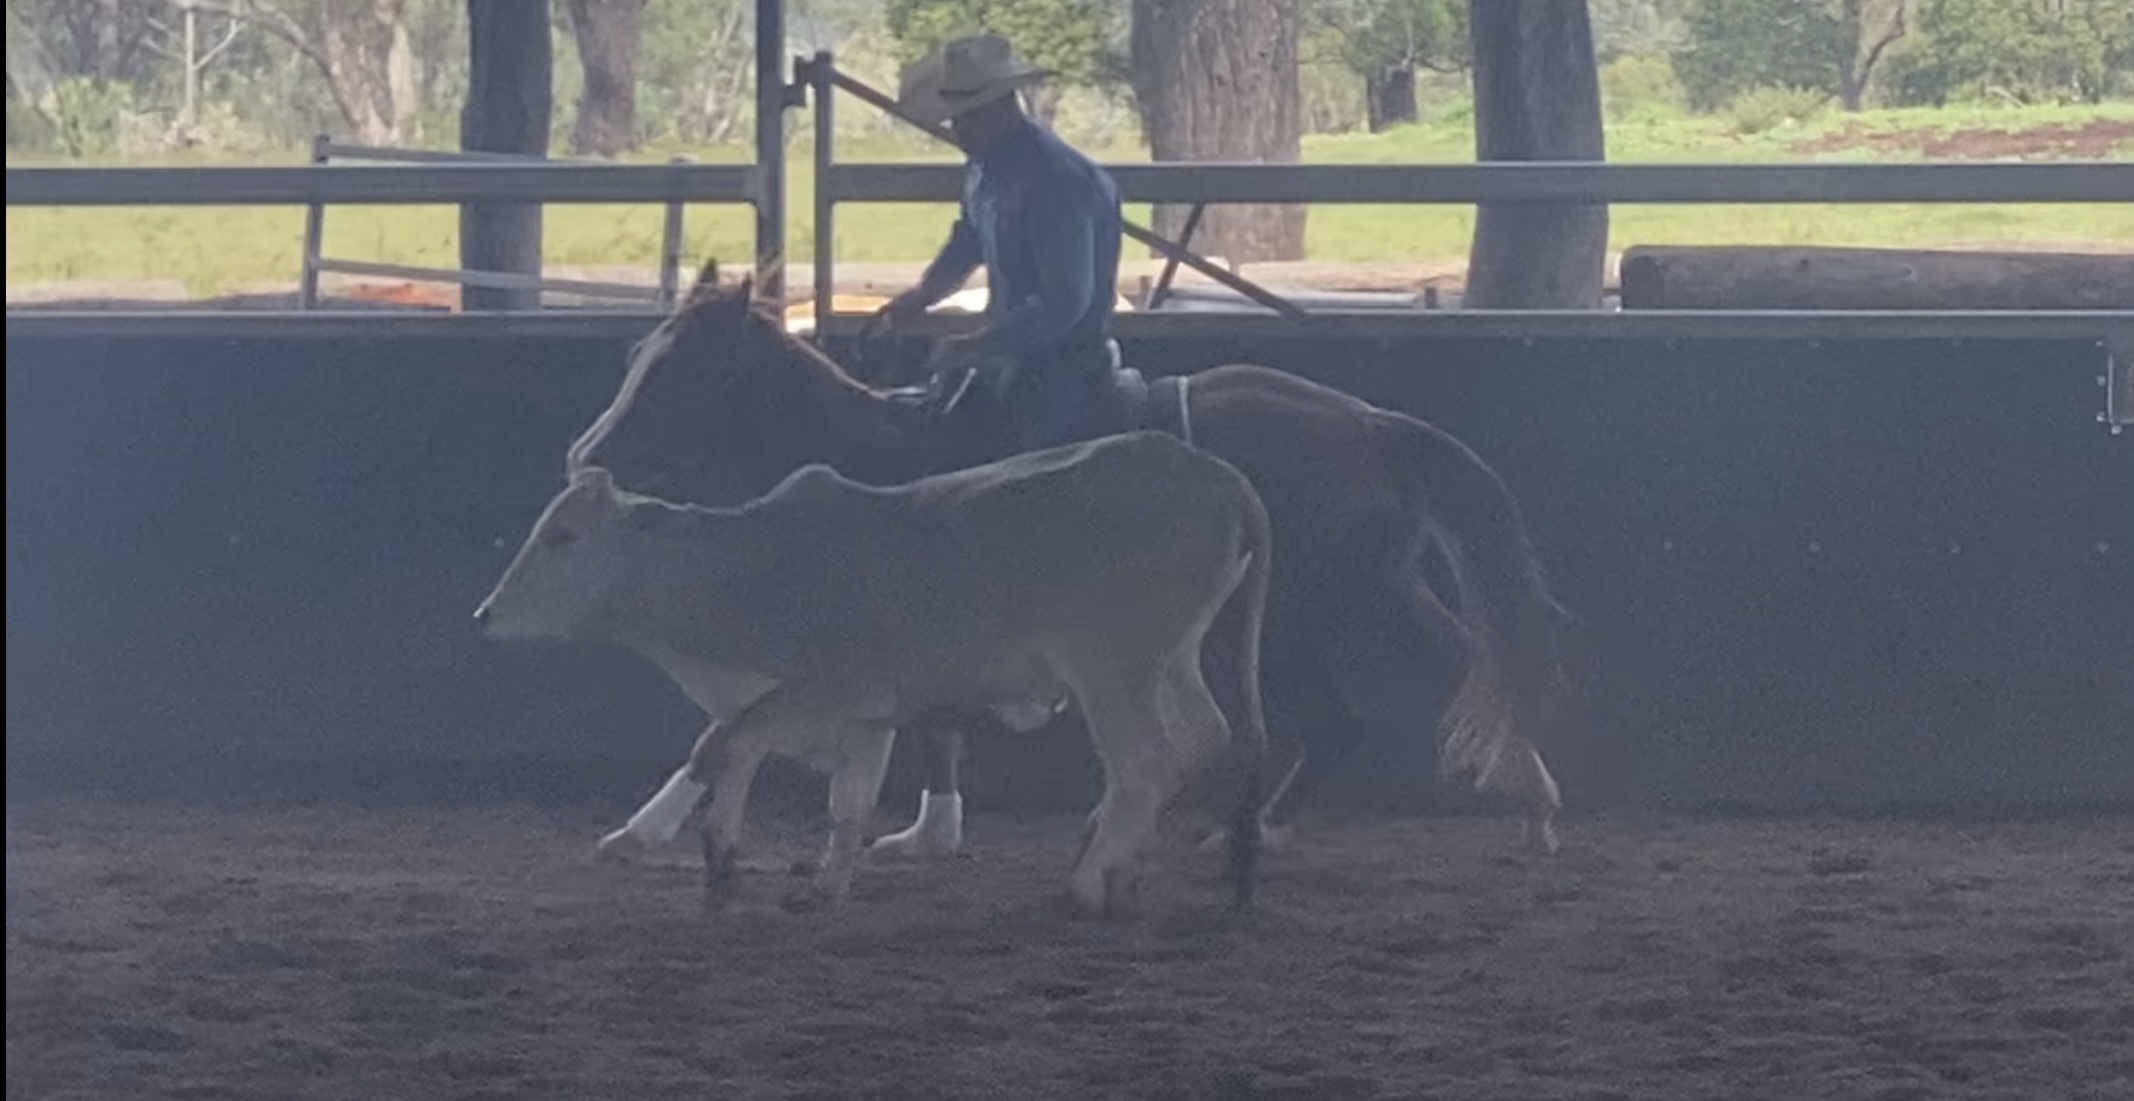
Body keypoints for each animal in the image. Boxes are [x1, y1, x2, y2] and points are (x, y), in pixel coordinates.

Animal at [474, 430, 1273, 919]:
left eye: (563, 536)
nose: (485, 613)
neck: (750, 569)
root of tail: (1220, 477)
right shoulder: (869, 718)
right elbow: (841, 802)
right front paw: (823, 884)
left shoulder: (828, 689)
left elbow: (738, 738)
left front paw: (721, 858)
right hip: (1171, 660)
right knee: (1202, 739)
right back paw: (1119, 866)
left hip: (1113, 669)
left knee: (1145, 762)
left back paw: (1086, 881)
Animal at [564, 259, 1580, 860]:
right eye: (639, 351)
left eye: (685, 372)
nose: (588, 453)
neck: (885, 458)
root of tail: (1371, 426)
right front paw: (929, 831)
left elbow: (731, 731)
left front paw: (639, 829)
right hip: (1379, 590)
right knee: (1472, 662)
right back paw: (1533, 798)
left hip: (1288, 618)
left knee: (1336, 721)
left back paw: (1237, 826)